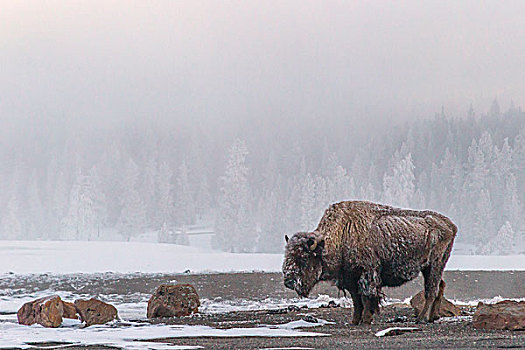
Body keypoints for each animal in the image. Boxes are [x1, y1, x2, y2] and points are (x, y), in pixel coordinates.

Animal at [280, 201, 456, 324]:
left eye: (303, 258)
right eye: (287, 255)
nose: (289, 281)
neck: (341, 234)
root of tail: (451, 225)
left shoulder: (367, 274)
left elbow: (366, 298)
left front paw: (365, 319)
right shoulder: (350, 278)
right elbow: (356, 300)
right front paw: (354, 321)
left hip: (434, 264)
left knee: (431, 291)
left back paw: (421, 319)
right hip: (430, 268)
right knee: (440, 286)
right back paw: (433, 317)